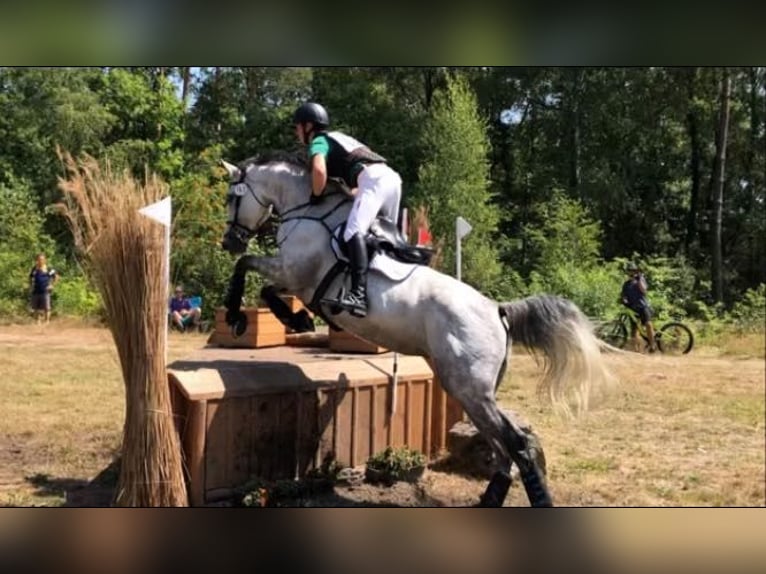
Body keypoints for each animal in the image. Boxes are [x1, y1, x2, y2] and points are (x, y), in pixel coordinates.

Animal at [219, 152, 616, 508]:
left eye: (232, 197)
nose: (229, 242)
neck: (307, 210)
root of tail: (497, 310)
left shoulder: (295, 273)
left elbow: (248, 269)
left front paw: (241, 316)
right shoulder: (296, 279)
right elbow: (263, 285)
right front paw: (295, 320)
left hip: (471, 389)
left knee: (515, 443)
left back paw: (538, 500)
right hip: (468, 391)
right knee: (500, 448)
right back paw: (488, 502)